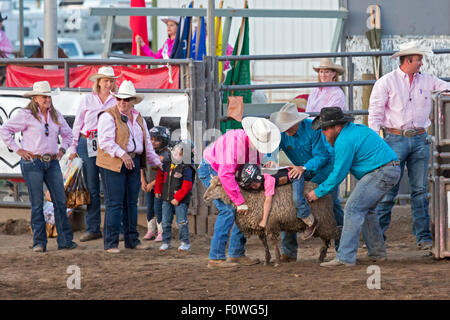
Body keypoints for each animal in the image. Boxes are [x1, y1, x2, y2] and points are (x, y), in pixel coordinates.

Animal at [204, 176, 342, 266]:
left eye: (218, 185)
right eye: (210, 183)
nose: (204, 197)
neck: (249, 199)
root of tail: (326, 192)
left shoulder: (271, 224)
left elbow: (274, 242)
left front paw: (277, 261)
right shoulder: (261, 227)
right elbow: (264, 244)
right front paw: (267, 260)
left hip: (325, 220)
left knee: (337, 232)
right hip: (324, 223)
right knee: (326, 239)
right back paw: (321, 257)